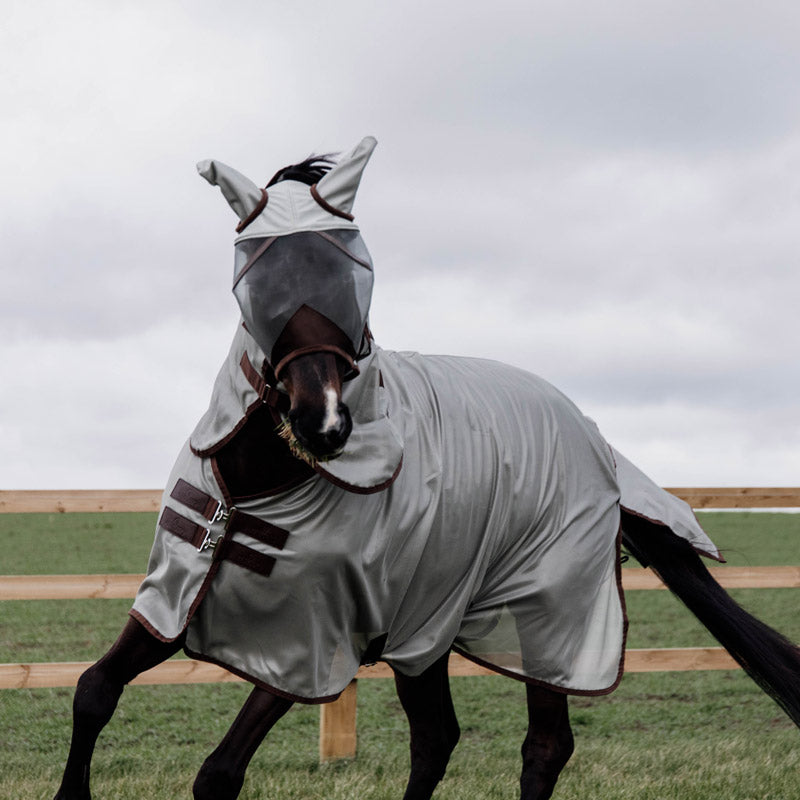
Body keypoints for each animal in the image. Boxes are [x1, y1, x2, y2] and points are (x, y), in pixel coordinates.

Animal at [53, 138, 796, 800]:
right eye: (254, 279)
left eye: (358, 272)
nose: (325, 423)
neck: (258, 486)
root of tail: (593, 437)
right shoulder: (173, 597)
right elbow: (94, 691)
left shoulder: (308, 642)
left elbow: (218, 774)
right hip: (427, 625)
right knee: (437, 739)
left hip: (549, 615)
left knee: (545, 745)